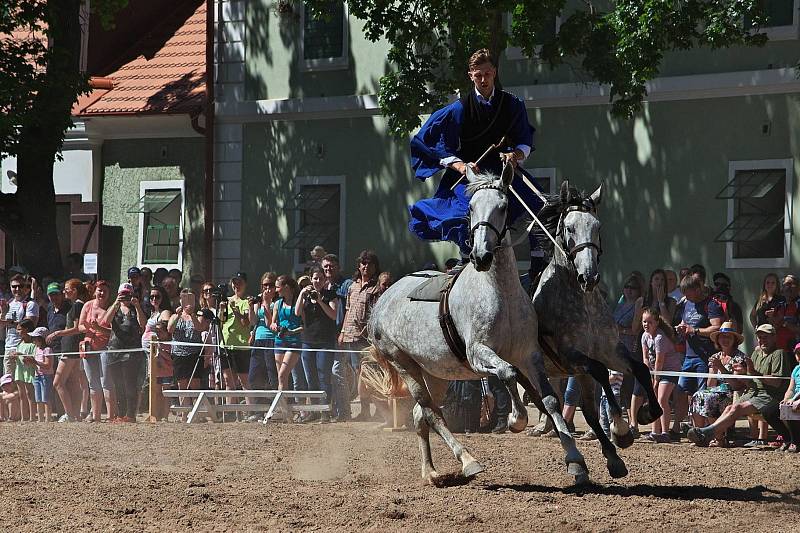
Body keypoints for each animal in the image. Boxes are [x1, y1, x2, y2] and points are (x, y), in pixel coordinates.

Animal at [368, 164, 588, 484]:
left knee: (421, 415)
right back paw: (468, 460)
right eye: (470, 207)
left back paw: (430, 471)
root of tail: (380, 302)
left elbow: (549, 400)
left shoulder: (530, 355)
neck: (500, 292)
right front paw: (516, 419)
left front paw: (575, 461)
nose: (481, 256)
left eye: (503, 206)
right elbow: (508, 374)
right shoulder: (478, 354)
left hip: (435, 372)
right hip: (403, 364)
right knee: (431, 412)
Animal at [532, 180, 664, 478]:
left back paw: (612, 459)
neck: (583, 303)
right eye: (569, 228)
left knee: (585, 411)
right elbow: (602, 372)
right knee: (550, 404)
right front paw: (621, 428)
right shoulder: (572, 356)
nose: (589, 276)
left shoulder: (610, 349)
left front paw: (647, 414)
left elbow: (640, 368)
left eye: (597, 226)